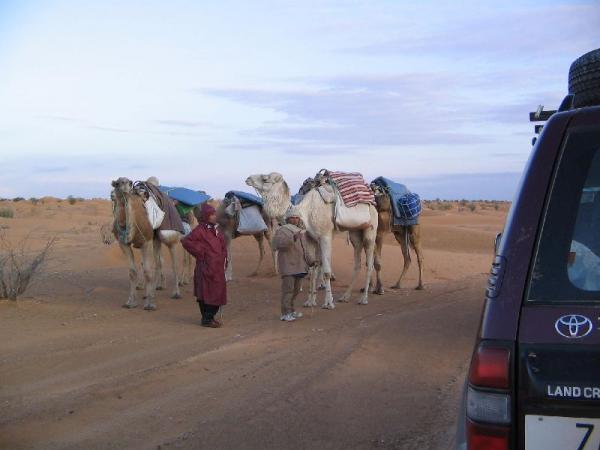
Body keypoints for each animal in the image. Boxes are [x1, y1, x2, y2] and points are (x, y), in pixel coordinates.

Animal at [109, 176, 182, 310]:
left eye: (128, 181)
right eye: (117, 183)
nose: (128, 184)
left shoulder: (145, 241)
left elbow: (147, 271)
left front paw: (150, 304)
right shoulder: (123, 244)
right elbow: (132, 272)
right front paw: (130, 302)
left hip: (168, 234)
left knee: (173, 262)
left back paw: (176, 293)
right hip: (156, 238)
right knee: (158, 263)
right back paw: (152, 292)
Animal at [245, 172, 378, 310]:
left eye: (265, 179)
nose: (248, 179)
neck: (305, 212)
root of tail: (373, 204)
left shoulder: (325, 237)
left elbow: (326, 271)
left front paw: (328, 303)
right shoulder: (313, 238)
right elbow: (314, 268)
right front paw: (310, 301)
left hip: (371, 229)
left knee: (369, 261)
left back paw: (364, 299)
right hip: (355, 233)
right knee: (357, 261)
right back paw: (345, 297)